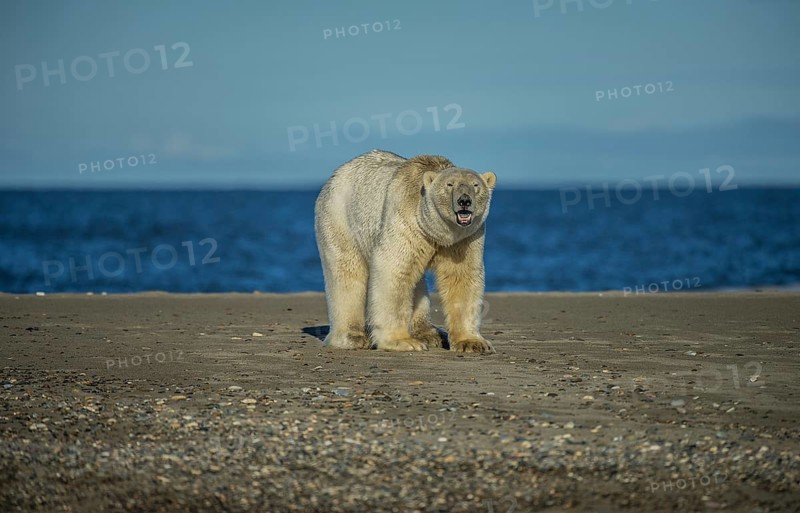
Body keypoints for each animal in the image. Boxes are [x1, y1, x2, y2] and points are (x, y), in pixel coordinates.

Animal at [314, 149, 497, 353]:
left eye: (475, 185)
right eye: (449, 185)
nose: (464, 201)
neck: (438, 232)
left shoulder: (464, 240)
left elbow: (461, 277)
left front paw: (471, 342)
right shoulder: (406, 221)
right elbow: (393, 269)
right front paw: (402, 341)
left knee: (417, 285)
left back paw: (430, 333)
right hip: (340, 220)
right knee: (347, 273)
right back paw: (353, 337)